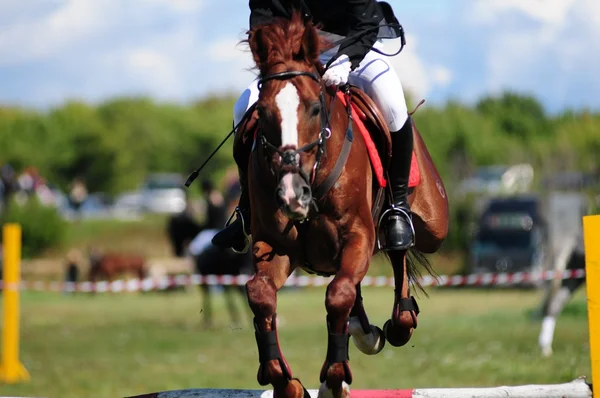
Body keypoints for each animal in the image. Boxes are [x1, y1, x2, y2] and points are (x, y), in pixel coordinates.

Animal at [237, 12, 448, 398]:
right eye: (263, 111)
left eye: (314, 108)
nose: (291, 195)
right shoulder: (274, 245)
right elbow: (260, 295)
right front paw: (286, 381)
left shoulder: (358, 234)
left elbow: (338, 294)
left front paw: (335, 377)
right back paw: (363, 329)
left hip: (432, 223)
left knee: (398, 246)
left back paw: (400, 321)